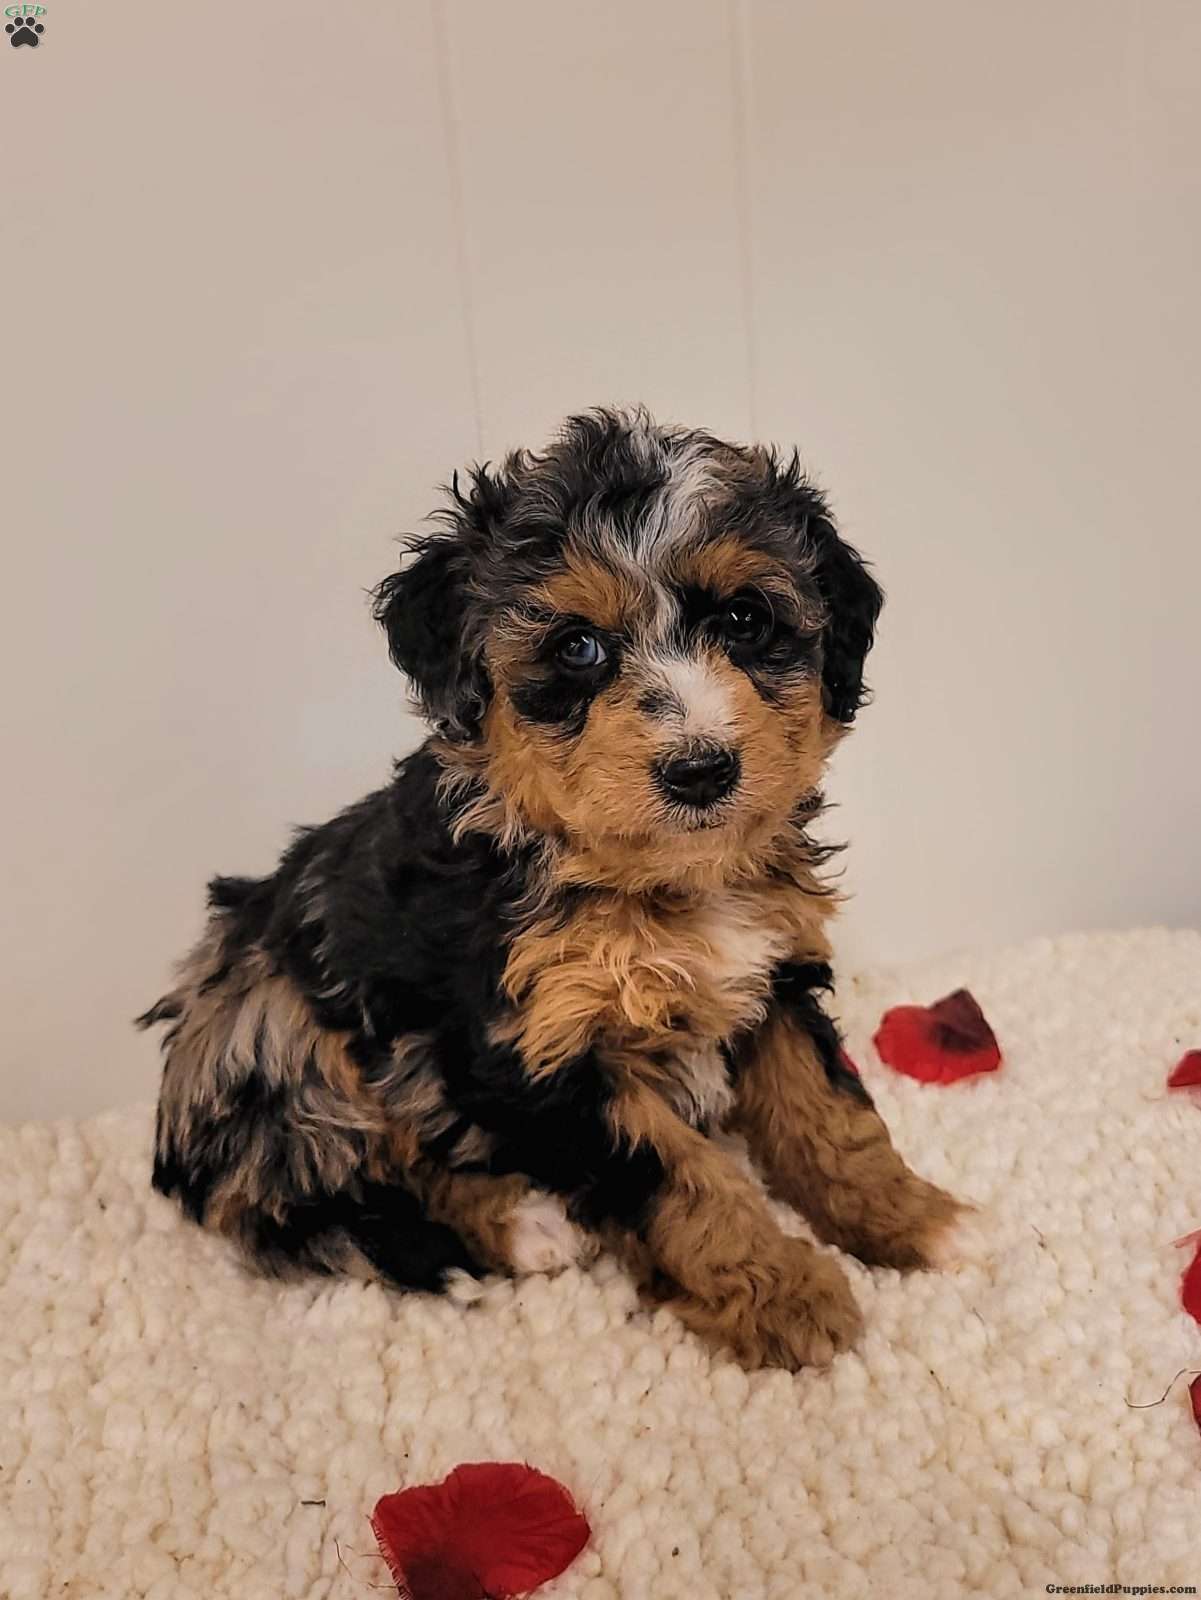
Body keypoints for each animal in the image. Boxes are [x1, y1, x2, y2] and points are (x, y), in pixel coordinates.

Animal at [140, 407, 969, 1371]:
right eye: (578, 647)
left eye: (744, 619)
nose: (701, 770)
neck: (650, 883)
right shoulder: (539, 1052)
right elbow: (682, 1179)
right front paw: (782, 1295)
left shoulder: (776, 977)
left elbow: (828, 1115)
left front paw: (911, 1218)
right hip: (277, 1030)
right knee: (348, 1182)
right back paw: (521, 1224)